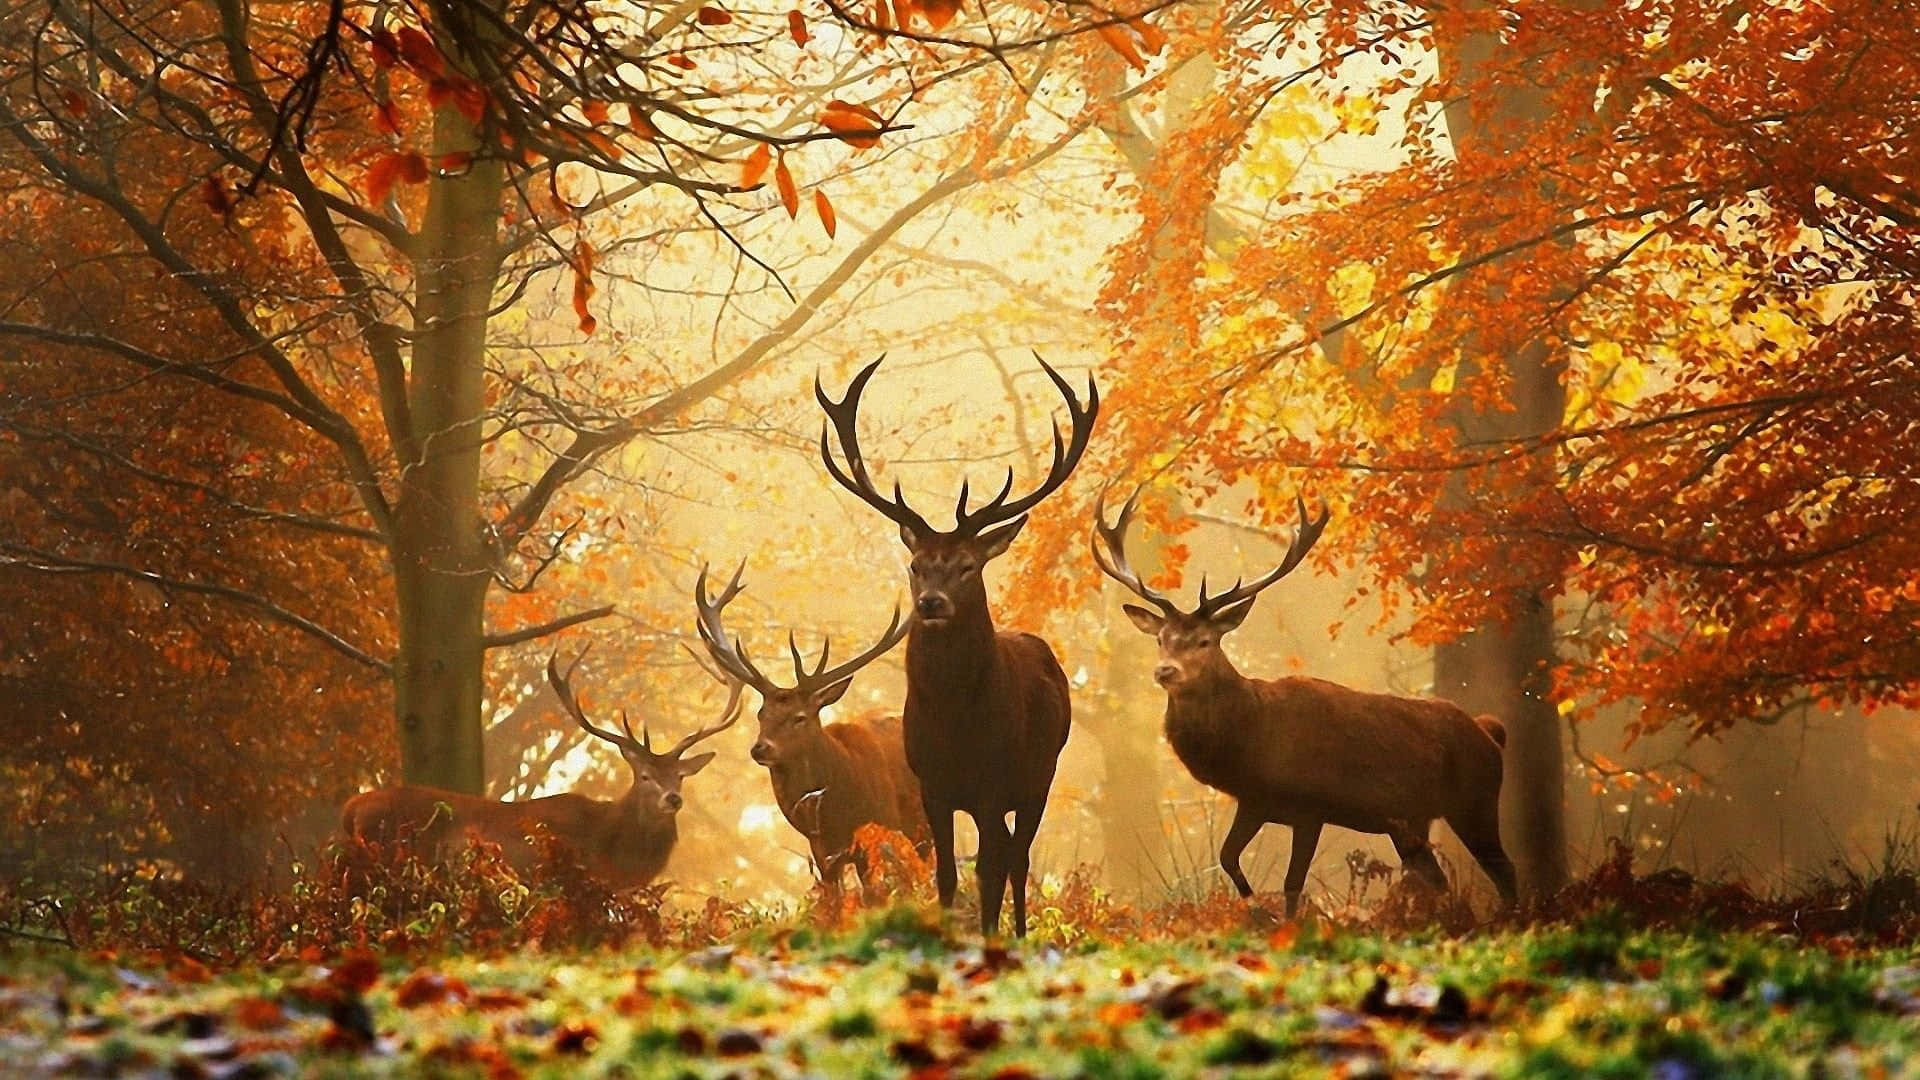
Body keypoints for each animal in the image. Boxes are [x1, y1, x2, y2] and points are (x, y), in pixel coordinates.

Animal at [816, 352, 1098, 936]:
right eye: (916, 565)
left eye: (968, 566)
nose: (931, 603)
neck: (955, 727)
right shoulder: (932, 785)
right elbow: (946, 873)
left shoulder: (994, 782)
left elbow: (989, 870)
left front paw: (990, 937)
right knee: (1008, 854)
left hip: (1040, 776)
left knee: (1017, 858)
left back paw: (1018, 932)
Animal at [1091, 491, 1518, 919]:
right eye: (1160, 638)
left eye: (1204, 641)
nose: (1164, 670)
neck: (1251, 740)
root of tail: (1490, 732)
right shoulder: (1254, 801)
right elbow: (1228, 857)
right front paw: (1255, 911)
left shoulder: (1311, 807)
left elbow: (1292, 883)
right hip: (1410, 821)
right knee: (1437, 878)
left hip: (1476, 800)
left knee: (1505, 870)